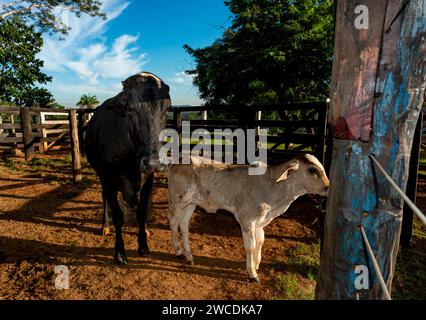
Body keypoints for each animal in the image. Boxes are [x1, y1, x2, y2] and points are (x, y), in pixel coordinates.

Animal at [84, 72, 171, 264]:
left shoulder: (148, 180)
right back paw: (104, 226)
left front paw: (143, 245)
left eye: (167, 108)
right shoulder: (108, 179)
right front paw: (119, 253)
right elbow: (118, 216)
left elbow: (141, 212)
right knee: (105, 198)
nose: (153, 162)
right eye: (131, 110)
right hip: (102, 177)